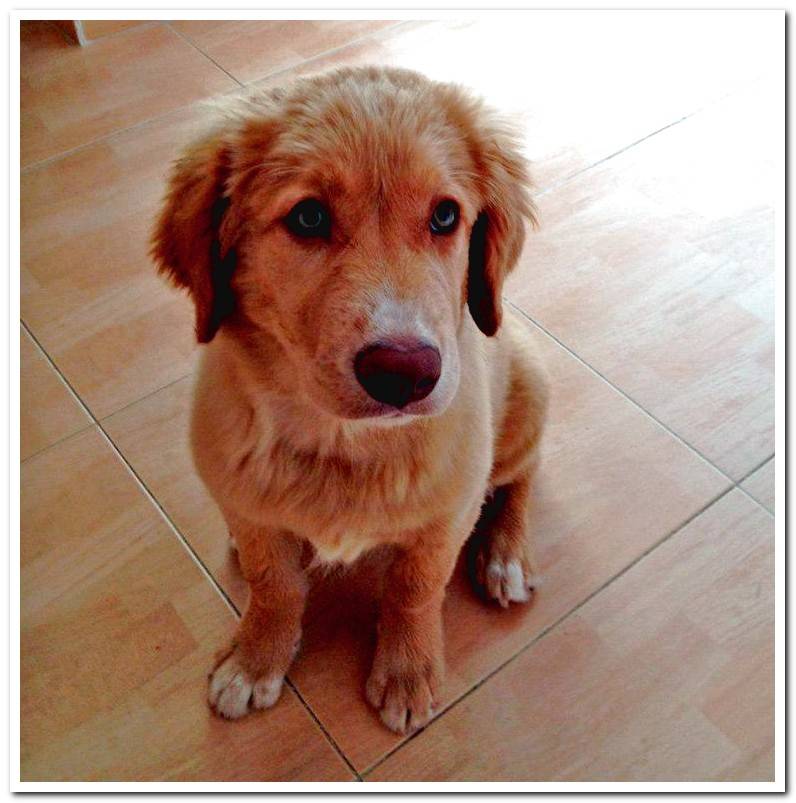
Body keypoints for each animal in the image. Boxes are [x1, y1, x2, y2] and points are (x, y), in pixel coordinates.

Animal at [151, 67, 548, 736]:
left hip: (527, 396)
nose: (407, 373)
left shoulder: (446, 512)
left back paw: (504, 554)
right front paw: (256, 657)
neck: (342, 443)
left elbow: (416, 587)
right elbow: (274, 583)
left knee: (520, 477)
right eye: (309, 217)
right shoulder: (252, 508)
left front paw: (409, 670)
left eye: (446, 216)